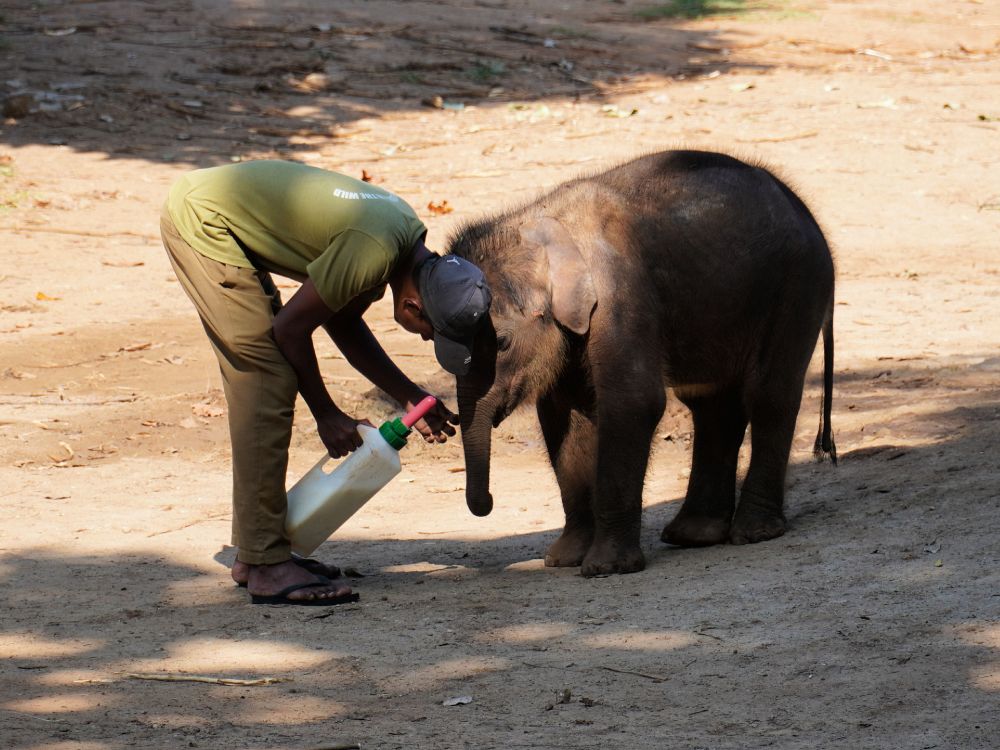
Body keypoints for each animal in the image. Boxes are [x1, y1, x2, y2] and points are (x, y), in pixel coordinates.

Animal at [447, 150, 836, 577]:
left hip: (797, 286)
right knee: (713, 405)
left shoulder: (620, 293)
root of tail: (804, 210)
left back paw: (753, 532)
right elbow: (564, 416)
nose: (486, 505)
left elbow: (632, 402)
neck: (541, 221)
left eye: (501, 343)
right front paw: (564, 560)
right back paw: (693, 535)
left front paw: (605, 568)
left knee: (768, 394)